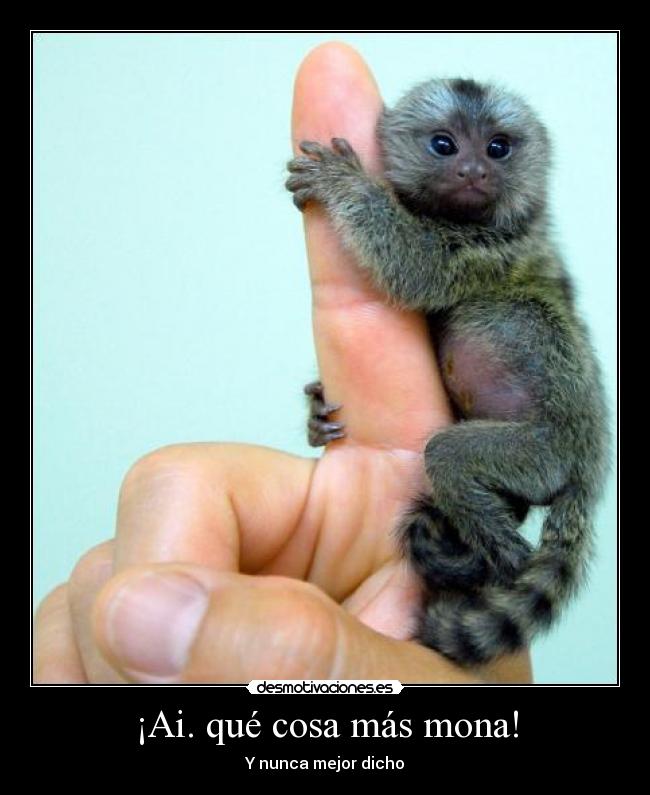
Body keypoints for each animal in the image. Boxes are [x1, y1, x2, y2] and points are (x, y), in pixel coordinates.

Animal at [285, 77, 610, 667]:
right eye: (444, 145)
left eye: (497, 149)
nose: (474, 171)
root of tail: (590, 470)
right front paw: (316, 411)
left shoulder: (492, 248)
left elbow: (417, 266)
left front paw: (346, 184)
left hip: (543, 454)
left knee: (450, 457)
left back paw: (497, 556)